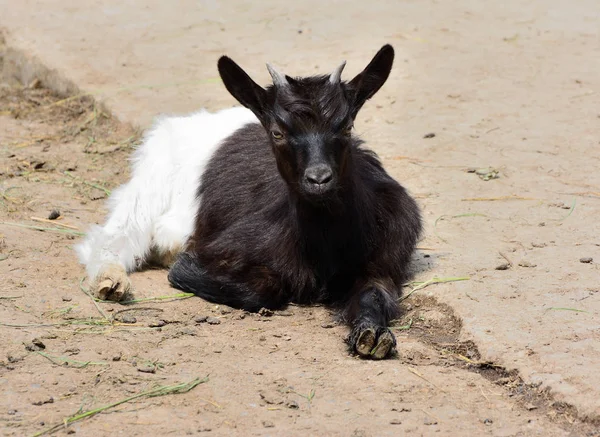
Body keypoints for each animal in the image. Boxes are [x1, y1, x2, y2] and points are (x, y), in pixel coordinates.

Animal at [75, 45, 422, 358]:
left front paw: (372, 335)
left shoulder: (385, 259)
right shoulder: (226, 246)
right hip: (152, 177)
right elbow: (263, 288)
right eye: (277, 132)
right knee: (115, 233)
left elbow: (374, 295)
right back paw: (111, 279)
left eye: (347, 126)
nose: (319, 179)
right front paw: (183, 268)